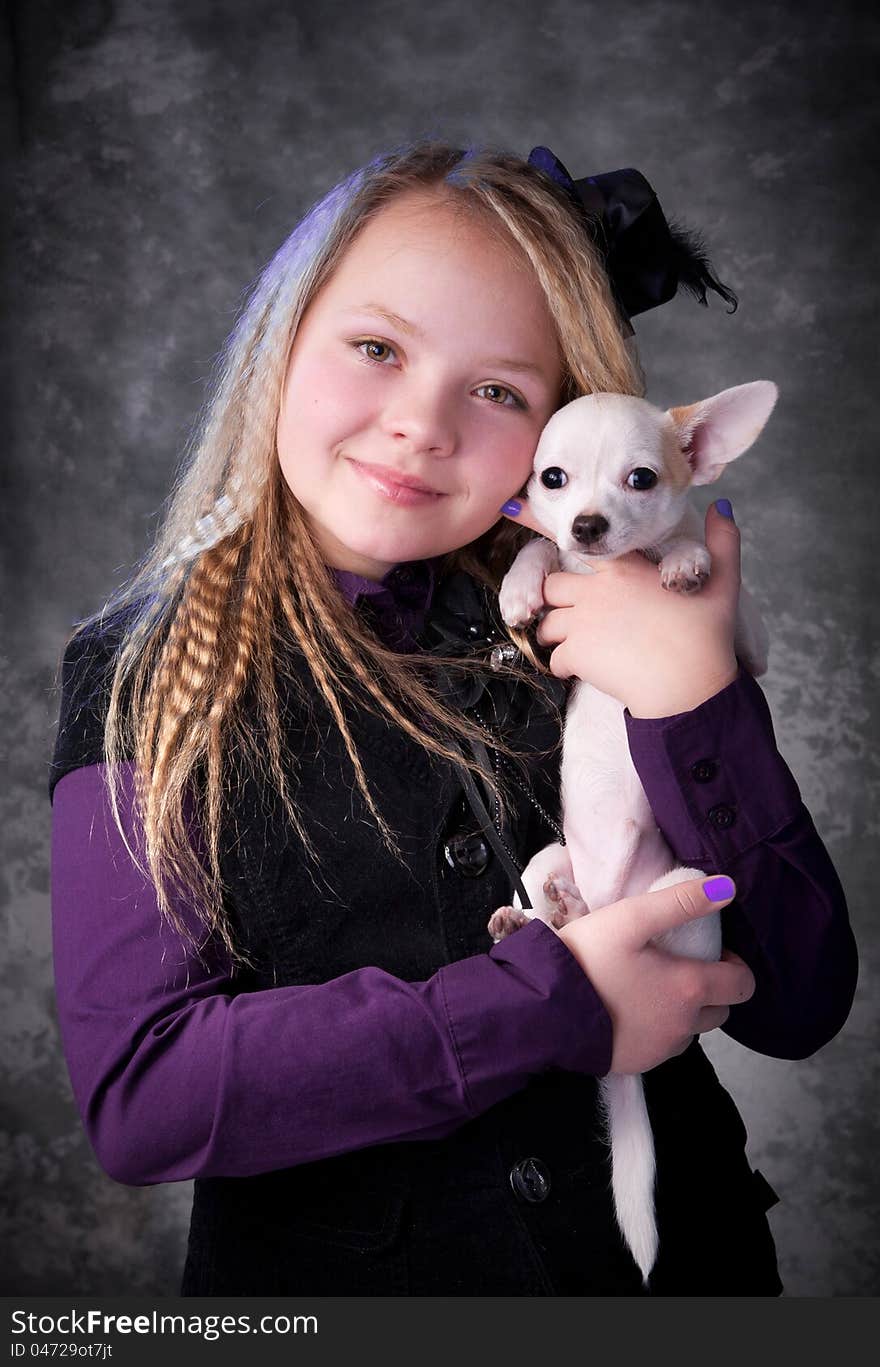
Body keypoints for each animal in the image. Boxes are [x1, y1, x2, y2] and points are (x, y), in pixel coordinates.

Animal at [489, 380, 776, 1284]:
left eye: (642, 479)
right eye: (552, 477)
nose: (585, 524)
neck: (616, 571)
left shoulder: (748, 641)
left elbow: (708, 569)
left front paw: (685, 559)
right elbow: (536, 555)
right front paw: (522, 581)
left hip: (685, 902)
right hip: (547, 855)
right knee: (551, 902)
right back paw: (536, 917)